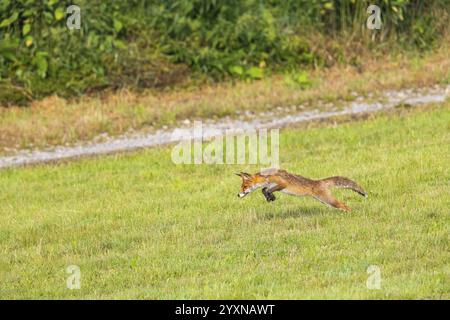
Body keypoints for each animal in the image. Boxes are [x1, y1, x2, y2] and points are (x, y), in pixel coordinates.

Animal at [236, 169, 366, 211]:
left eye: (244, 187)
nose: (238, 195)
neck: (266, 177)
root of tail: (318, 182)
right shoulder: (268, 185)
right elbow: (263, 190)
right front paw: (270, 197)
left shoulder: (282, 183)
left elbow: (268, 190)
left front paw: (270, 196)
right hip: (324, 201)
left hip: (328, 200)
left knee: (345, 205)